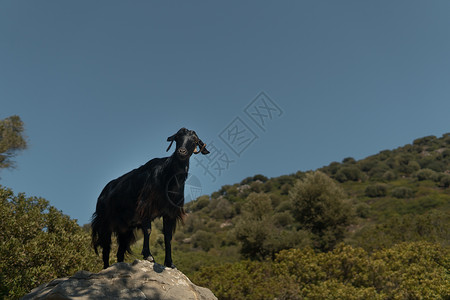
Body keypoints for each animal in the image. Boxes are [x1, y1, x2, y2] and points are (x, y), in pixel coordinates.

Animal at [92, 127, 211, 268]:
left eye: (194, 141)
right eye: (178, 138)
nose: (182, 151)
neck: (167, 177)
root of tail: (102, 194)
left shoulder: (170, 213)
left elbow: (168, 236)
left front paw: (170, 263)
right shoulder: (146, 206)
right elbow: (148, 230)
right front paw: (149, 256)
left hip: (125, 229)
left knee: (119, 252)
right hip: (105, 223)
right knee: (106, 248)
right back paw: (106, 267)